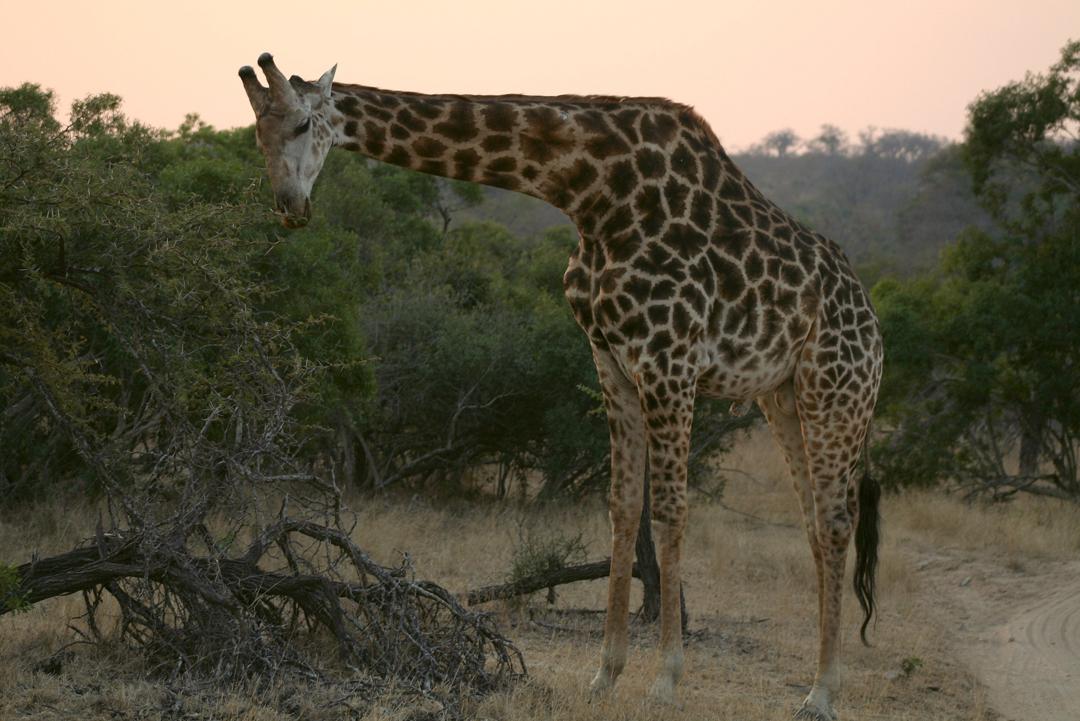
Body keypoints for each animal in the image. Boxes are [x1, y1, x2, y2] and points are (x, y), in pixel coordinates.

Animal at [240, 53, 881, 716]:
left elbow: (670, 512)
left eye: (300, 125)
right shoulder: (610, 357)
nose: (290, 207)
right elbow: (623, 507)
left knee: (837, 521)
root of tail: (869, 315)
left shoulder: (670, 358)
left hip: (837, 391)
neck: (592, 193)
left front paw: (665, 678)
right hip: (782, 398)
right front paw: (606, 673)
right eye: (256, 134)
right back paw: (816, 682)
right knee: (815, 523)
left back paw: (823, 693)